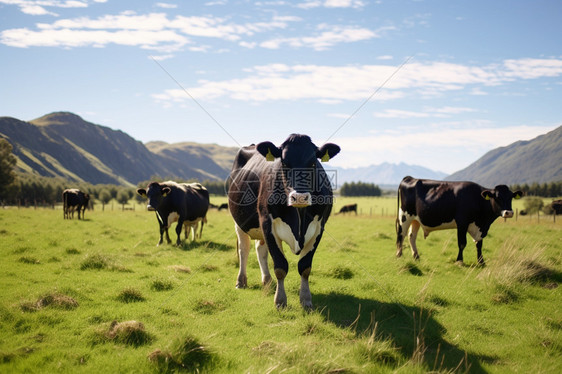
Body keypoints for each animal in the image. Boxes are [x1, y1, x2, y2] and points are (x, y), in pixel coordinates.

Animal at [225, 133, 340, 308]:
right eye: (284, 163)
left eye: (313, 162)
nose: (299, 197)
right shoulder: (267, 224)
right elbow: (280, 266)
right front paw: (280, 301)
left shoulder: (319, 228)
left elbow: (305, 267)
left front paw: (306, 300)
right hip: (240, 223)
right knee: (243, 250)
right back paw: (241, 281)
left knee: (260, 250)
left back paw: (267, 281)